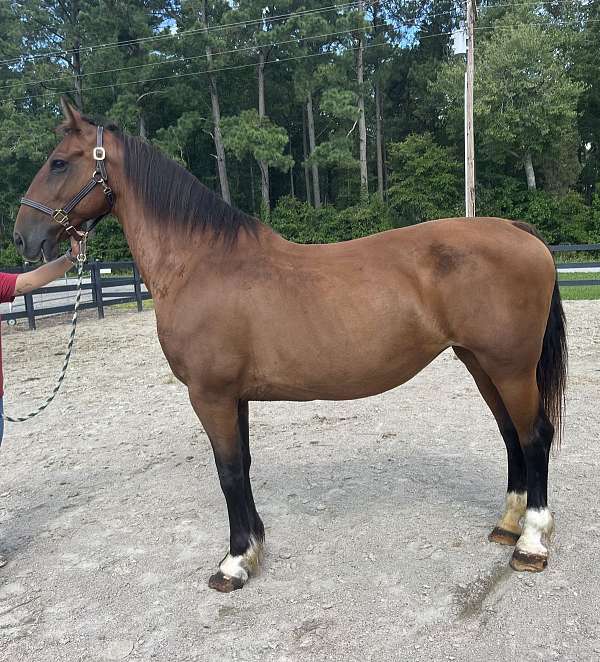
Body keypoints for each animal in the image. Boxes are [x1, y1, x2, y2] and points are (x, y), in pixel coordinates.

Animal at [12, 100, 568, 596]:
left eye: (59, 161)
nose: (23, 238)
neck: (201, 263)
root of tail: (517, 230)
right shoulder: (232, 396)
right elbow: (242, 467)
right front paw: (254, 546)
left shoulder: (210, 395)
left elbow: (228, 472)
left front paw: (234, 562)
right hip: (481, 363)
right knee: (511, 435)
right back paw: (508, 525)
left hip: (510, 367)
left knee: (534, 435)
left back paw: (531, 543)